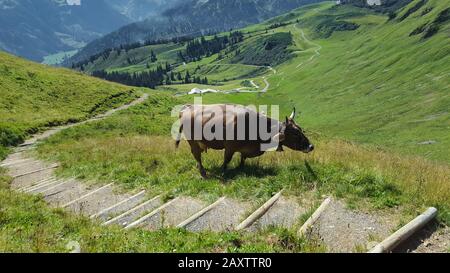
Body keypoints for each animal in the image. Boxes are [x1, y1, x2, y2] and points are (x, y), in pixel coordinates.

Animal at [175, 103, 312, 177]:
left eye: (301, 129)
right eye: (295, 134)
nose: (311, 147)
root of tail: (187, 108)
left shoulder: (246, 149)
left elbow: (243, 158)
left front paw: (241, 168)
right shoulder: (229, 147)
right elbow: (227, 160)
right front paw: (223, 171)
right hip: (192, 141)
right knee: (196, 154)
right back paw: (203, 172)